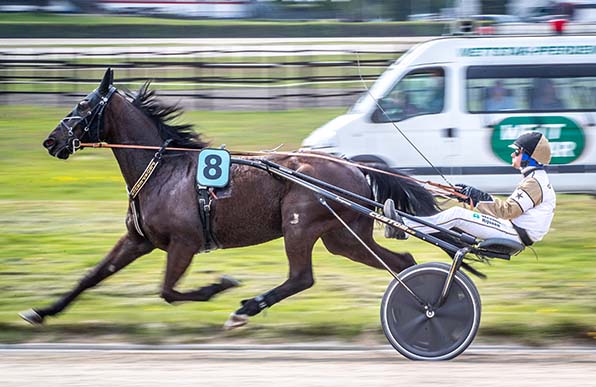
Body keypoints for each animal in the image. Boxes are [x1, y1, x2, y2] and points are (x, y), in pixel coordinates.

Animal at [21, 69, 438, 330]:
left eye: (83, 105)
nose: (50, 141)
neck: (161, 169)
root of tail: (353, 167)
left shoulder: (184, 242)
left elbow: (168, 292)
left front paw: (219, 286)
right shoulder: (138, 240)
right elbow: (92, 276)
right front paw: (42, 311)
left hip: (299, 225)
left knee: (301, 277)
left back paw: (247, 308)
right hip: (343, 236)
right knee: (401, 261)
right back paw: (420, 302)